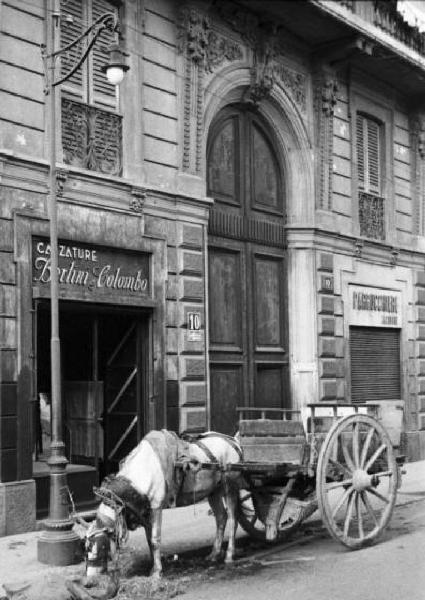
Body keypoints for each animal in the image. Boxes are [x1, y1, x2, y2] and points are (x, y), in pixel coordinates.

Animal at [83, 428, 242, 580]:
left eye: (101, 546)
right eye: (86, 547)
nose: (89, 580)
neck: (141, 474)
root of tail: (234, 442)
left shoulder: (156, 508)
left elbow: (155, 540)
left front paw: (157, 572)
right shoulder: (145, 511)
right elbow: (149, 540)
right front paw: (153, 567)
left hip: (230, 486)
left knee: (233, 519)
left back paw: (229, 556)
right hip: (214, 491)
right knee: (221, 517)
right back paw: (214, 554)